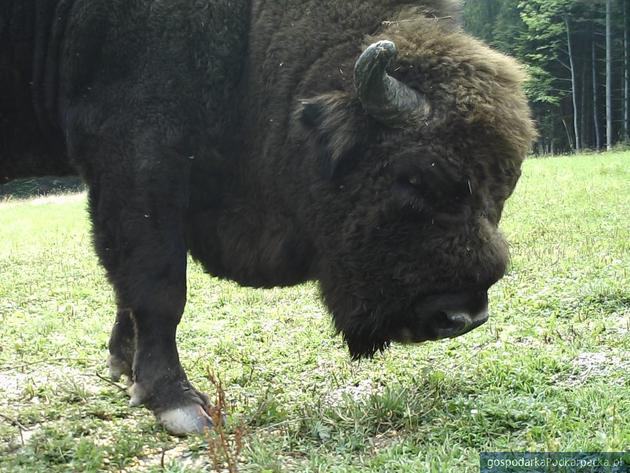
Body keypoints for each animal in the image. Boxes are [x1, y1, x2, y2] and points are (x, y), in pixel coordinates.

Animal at [1, 0, 540, 436]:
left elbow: (125, 283)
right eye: (416, 178)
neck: (250, 34)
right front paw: (179, 405)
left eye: (506, 184)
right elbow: (158, 287)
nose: (462, 318)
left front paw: (124, 369)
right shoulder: (135, 156)